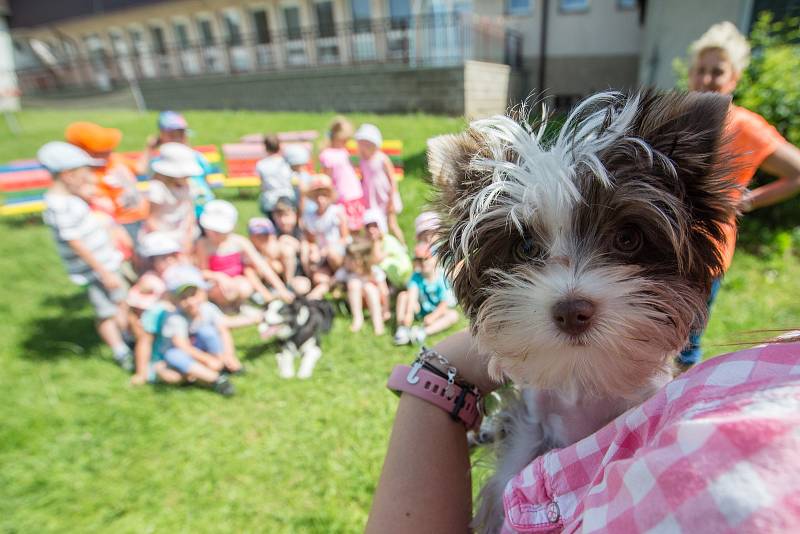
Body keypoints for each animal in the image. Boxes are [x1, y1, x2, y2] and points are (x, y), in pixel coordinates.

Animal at [428, 90, 740, 532]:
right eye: (525, 247)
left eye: (627, 238)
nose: (572, 310)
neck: (584, 373)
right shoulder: (533, 420)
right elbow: (510, 472)